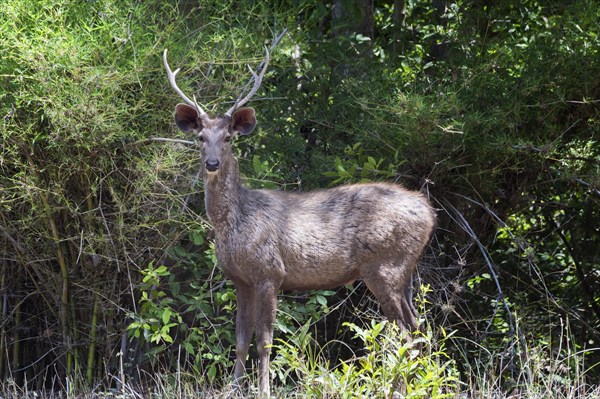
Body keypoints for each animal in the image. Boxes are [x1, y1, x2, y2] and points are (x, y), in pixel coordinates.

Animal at [163, 46, 436, 396]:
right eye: (200, 137)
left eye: (227, 138)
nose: (211, 164)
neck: (234, 224)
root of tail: (429, 212)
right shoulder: (240, 280)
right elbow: (240, 340)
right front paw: (231, 389)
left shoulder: (270, 272)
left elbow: (265, 340)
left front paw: (263, 390)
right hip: (403, 271)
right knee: (419, 327)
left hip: (385, 266)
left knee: (405, 332)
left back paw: (401, 388)